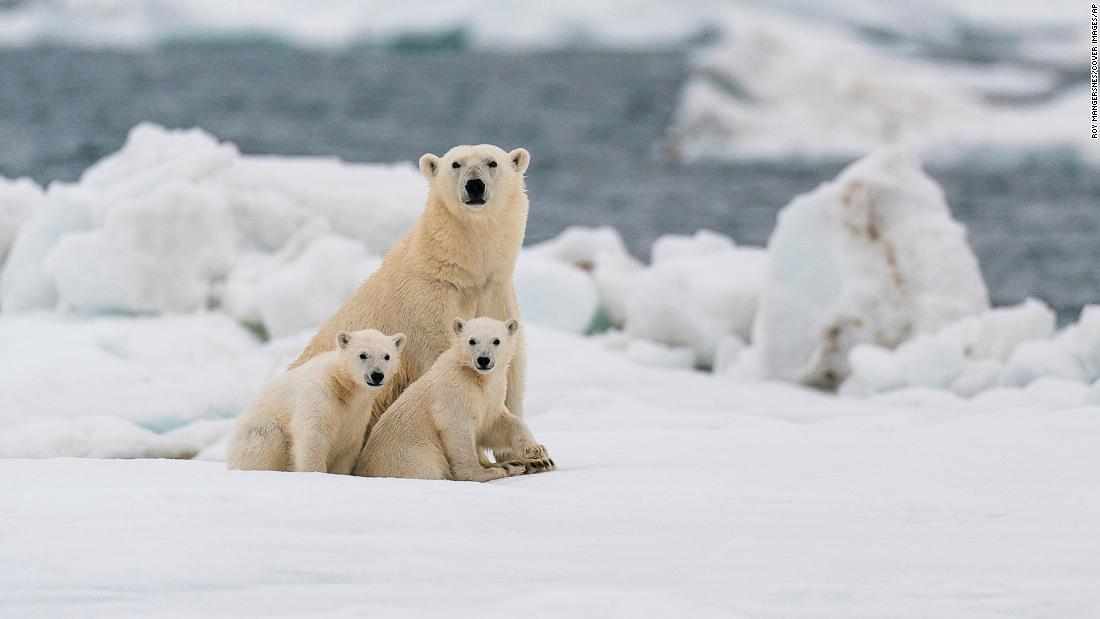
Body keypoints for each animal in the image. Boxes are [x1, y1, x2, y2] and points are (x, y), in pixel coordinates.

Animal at [227, 329, 404, 474]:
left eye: (387, 356)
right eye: (363, 355)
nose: (377, 375)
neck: (342, 385)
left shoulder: (357, 413)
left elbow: (348, 444)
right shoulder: (319, 394)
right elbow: (313, 435)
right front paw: (316, 473)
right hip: (255, 434)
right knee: (268, 439)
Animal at [292, 146, 532, 446]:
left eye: (492, 162)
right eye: (456, 164)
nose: (474, 185)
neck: (463, 273)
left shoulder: (495, 294)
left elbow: (510, 368)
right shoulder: (428, 306)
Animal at [356, 316, 554, 481]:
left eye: (496, 340)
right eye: (472, 340)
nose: (483, 359)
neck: (478, 378)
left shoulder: (493, 393)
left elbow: (495, 422)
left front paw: (536, 450)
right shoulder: (455, 390)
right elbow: (458, 428)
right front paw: (484, 472)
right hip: (411, 455)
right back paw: (506, 467)